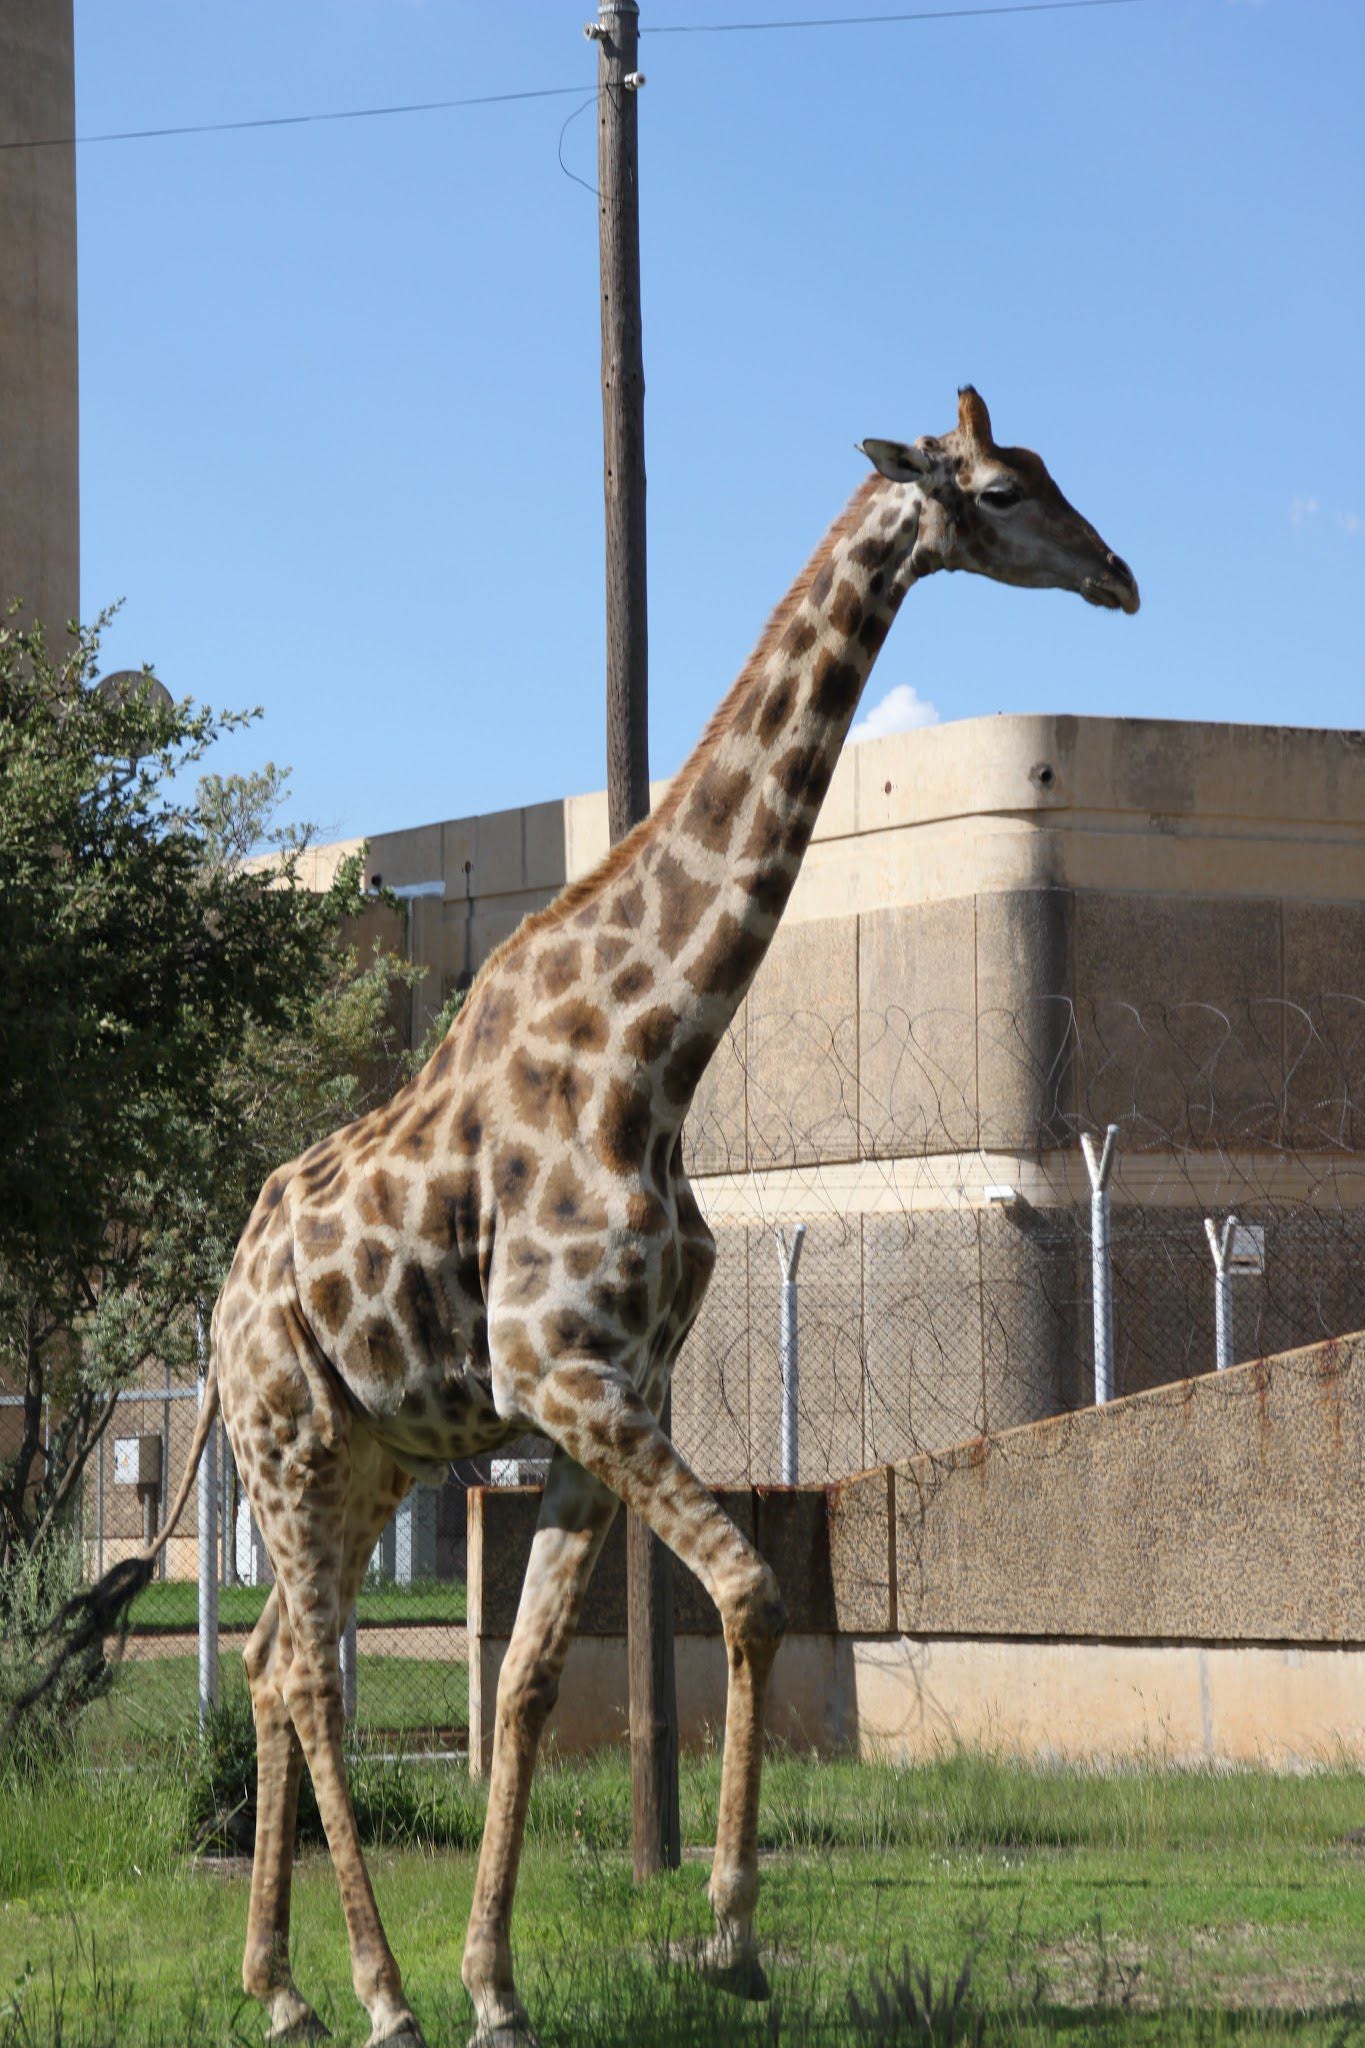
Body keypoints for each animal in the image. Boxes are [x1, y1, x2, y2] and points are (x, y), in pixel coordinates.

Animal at [149, 387, 1146, 2048]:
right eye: (1005, 490)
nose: (1120, 576)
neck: (657, 1051)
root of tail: (220, 1306)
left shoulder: (599, 1405)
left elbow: (526, 1685)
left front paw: (498, 1987)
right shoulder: (567, 1378)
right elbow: (747, 1590)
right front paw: (727, 1938)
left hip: (363, 1452)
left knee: (287, 1655)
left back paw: (277, 1983)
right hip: (290, 1436)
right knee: (308, 1678)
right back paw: (370, 1995)